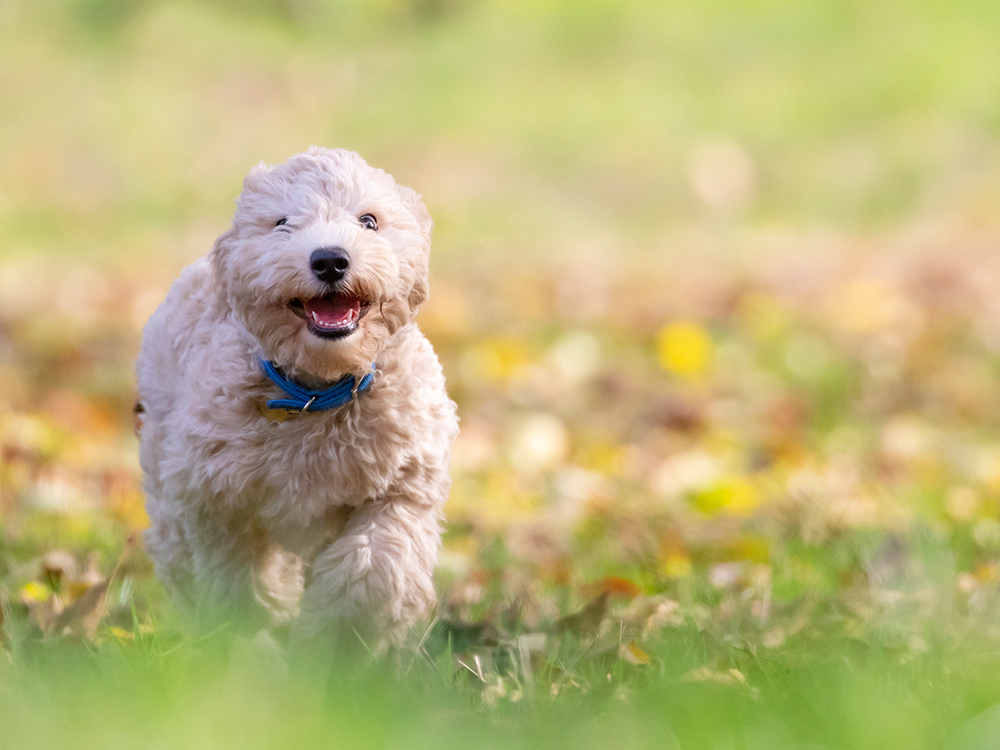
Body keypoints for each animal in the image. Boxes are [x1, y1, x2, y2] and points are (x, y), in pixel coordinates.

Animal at [135, 148, 458, 652]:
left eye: (369, 221)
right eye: (282, 223)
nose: (330, 260)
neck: (318, 391)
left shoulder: (403, 485)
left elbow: (375, 566)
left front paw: (335, 643)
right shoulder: (216, 497)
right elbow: (238, 577)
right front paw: (253, 636)